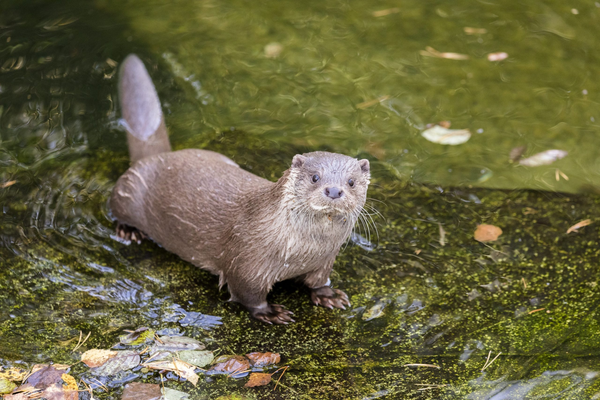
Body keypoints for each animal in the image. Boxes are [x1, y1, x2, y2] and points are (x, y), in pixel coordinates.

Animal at [109, 55, 368, 324]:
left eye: (351, 181)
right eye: (315, 177)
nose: (334, 191)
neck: (302, 252)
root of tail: (161, 157)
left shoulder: (326, 260)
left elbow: (318, 281)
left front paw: (328, 295)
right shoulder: (247, 263)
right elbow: (248, 294)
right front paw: (270, 312)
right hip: (128, 190)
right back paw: (128, 232)